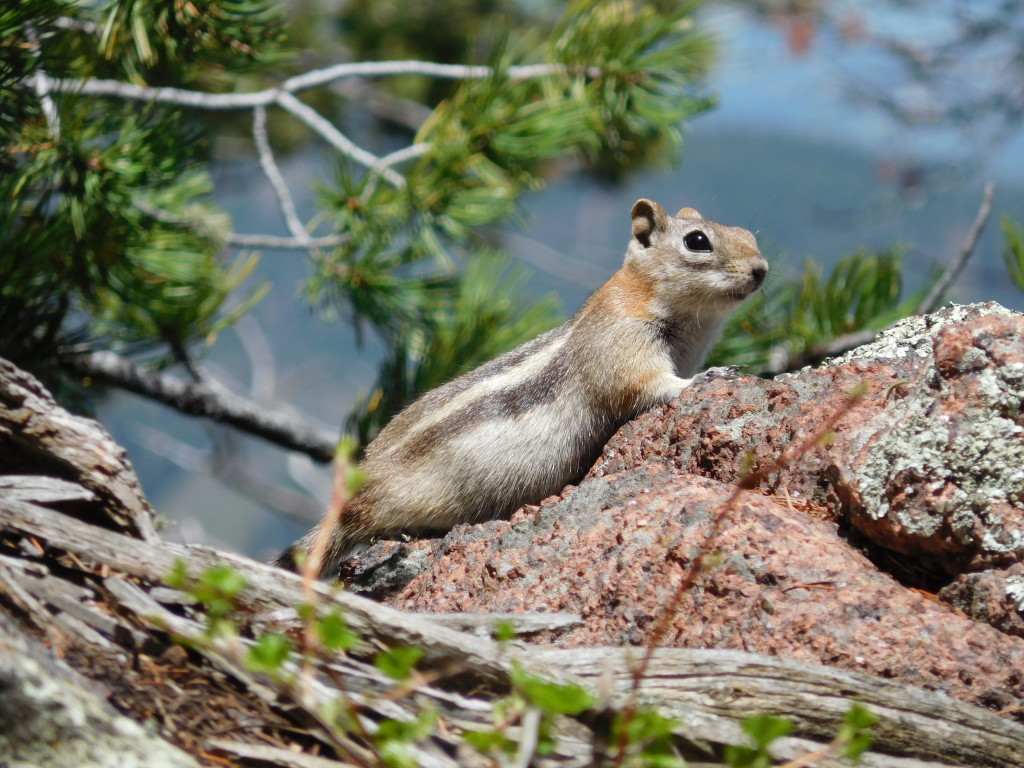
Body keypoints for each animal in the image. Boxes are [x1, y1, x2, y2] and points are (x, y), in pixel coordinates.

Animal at [276, 199, 765, 577]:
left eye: (748, 233)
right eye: (697, 241)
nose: (761, 270)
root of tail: (349, 502)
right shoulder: (622, 347)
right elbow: (646, 387)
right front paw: (710, 376)